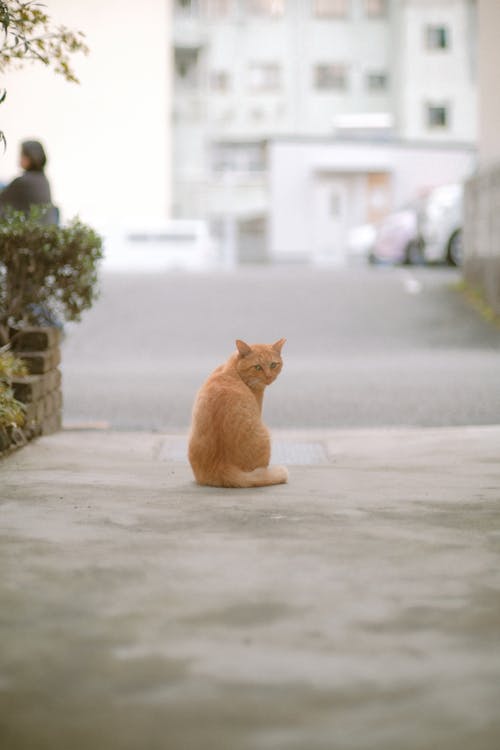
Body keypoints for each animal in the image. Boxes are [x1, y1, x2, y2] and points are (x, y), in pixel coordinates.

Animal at [188, 340, 290, 490]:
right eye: (257, 367)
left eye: (273, 364)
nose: (269, 377)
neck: (233, 368)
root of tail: (220, 467)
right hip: (264, 434)